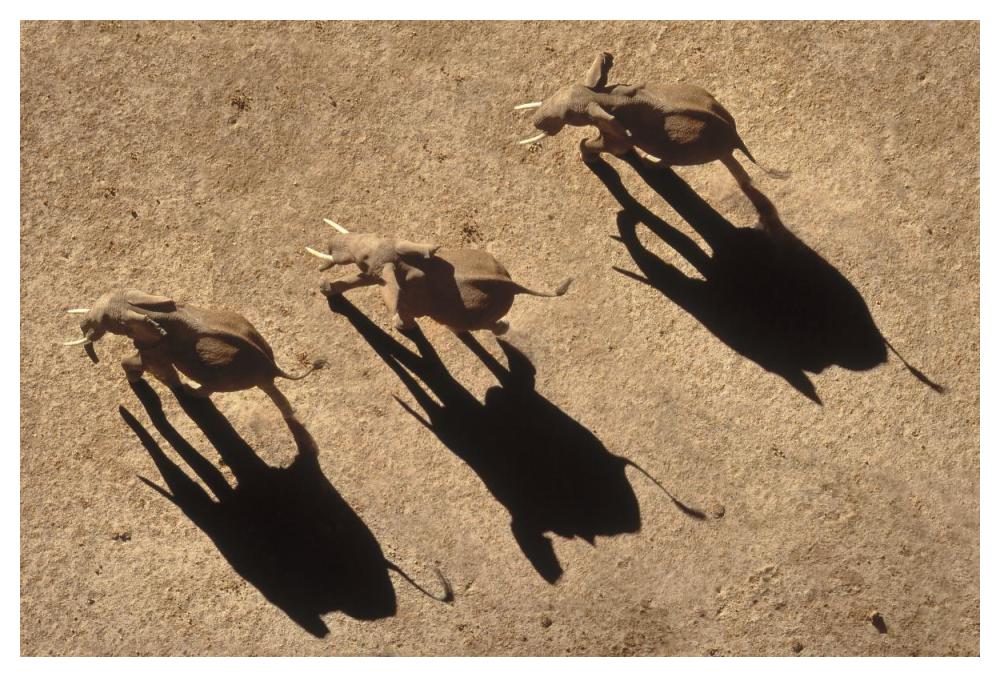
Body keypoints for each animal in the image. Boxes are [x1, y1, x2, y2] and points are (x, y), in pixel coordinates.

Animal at [61, 288, 321, 423]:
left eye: (113, 323)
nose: (95, 360)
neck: (140, 306)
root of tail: (273, 366)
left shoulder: (159, 345)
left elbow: (154, 367)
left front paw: (141, 381)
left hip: (229, 373)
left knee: (213, 387)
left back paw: (189, 391)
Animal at [306, 219, 571, 334]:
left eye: (364, 259)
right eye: (378, 234)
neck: (403, 263)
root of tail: (513, 284)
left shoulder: (409, 294)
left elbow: (404, 310)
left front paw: (402, 328)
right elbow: (363, 279)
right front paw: (325, 288)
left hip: (483, 310)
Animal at [514, 52, 787, 215]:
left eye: (570, 116)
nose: (537, 123)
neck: (600, 97)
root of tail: (734, 135)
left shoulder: (614, 127)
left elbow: (612, 145)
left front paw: (588, 155)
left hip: (690, 147)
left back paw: (650, 163)